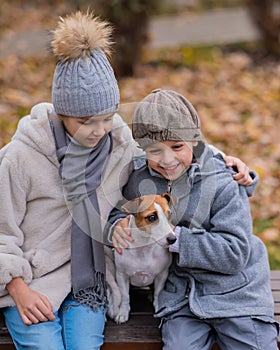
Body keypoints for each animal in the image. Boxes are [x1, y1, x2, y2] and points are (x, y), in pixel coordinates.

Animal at [106, 193, 176, 324]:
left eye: (169, 214)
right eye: (152, 217)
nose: (173, 239)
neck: (144, 247)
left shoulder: (162, 274)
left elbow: (158, 292)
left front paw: (158, 306)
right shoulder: (122, 275)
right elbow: (125, 296)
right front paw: (123, 313)